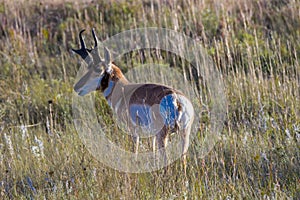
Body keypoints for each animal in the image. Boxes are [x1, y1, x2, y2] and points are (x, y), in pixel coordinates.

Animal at [72, 28, 195, 173]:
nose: (76, 87)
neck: (124, 89)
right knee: (183, 161)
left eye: (97, 69)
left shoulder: (133, 132)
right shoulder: (151, 136)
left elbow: (134, 152)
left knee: (167, 160)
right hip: (183, 135)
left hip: (163, 135)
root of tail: (176, 99)